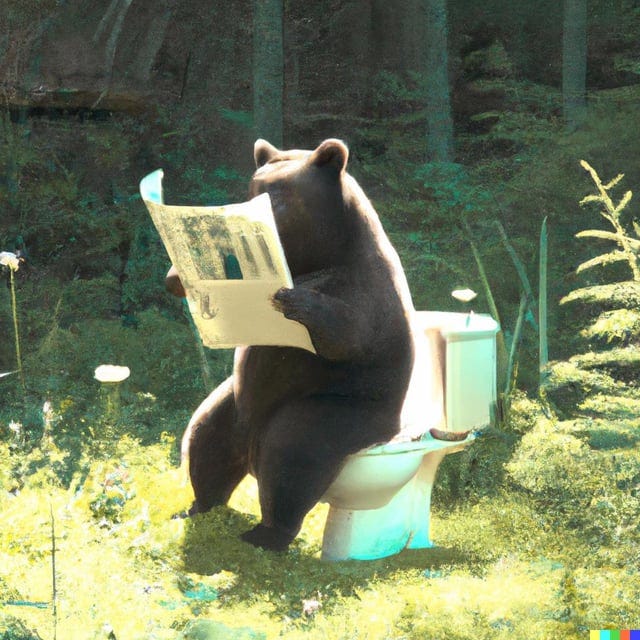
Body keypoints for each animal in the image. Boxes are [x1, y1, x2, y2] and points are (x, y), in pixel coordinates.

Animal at [170, 138, 415, 551]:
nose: (242, 218)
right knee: (205, 439)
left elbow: (345, 335)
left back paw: (265, 533)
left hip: (332, 408)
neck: (314, 256)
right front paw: (181, 275)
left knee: (292, 458)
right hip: (232, 403)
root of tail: (250, 450)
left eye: (276, 195)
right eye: (252, 189)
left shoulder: (364, 288)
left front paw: (294, 301)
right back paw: (196, 506)